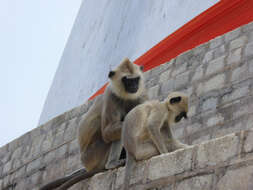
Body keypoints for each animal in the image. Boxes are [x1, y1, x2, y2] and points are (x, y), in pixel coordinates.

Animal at [39, 58, 148, 190]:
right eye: (127, 81)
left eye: (136, 79)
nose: (134, 86)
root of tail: (86, 164)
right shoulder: (110, 95)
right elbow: (107, 132)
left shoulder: (141, 94)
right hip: (94, 155)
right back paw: (111, 164)